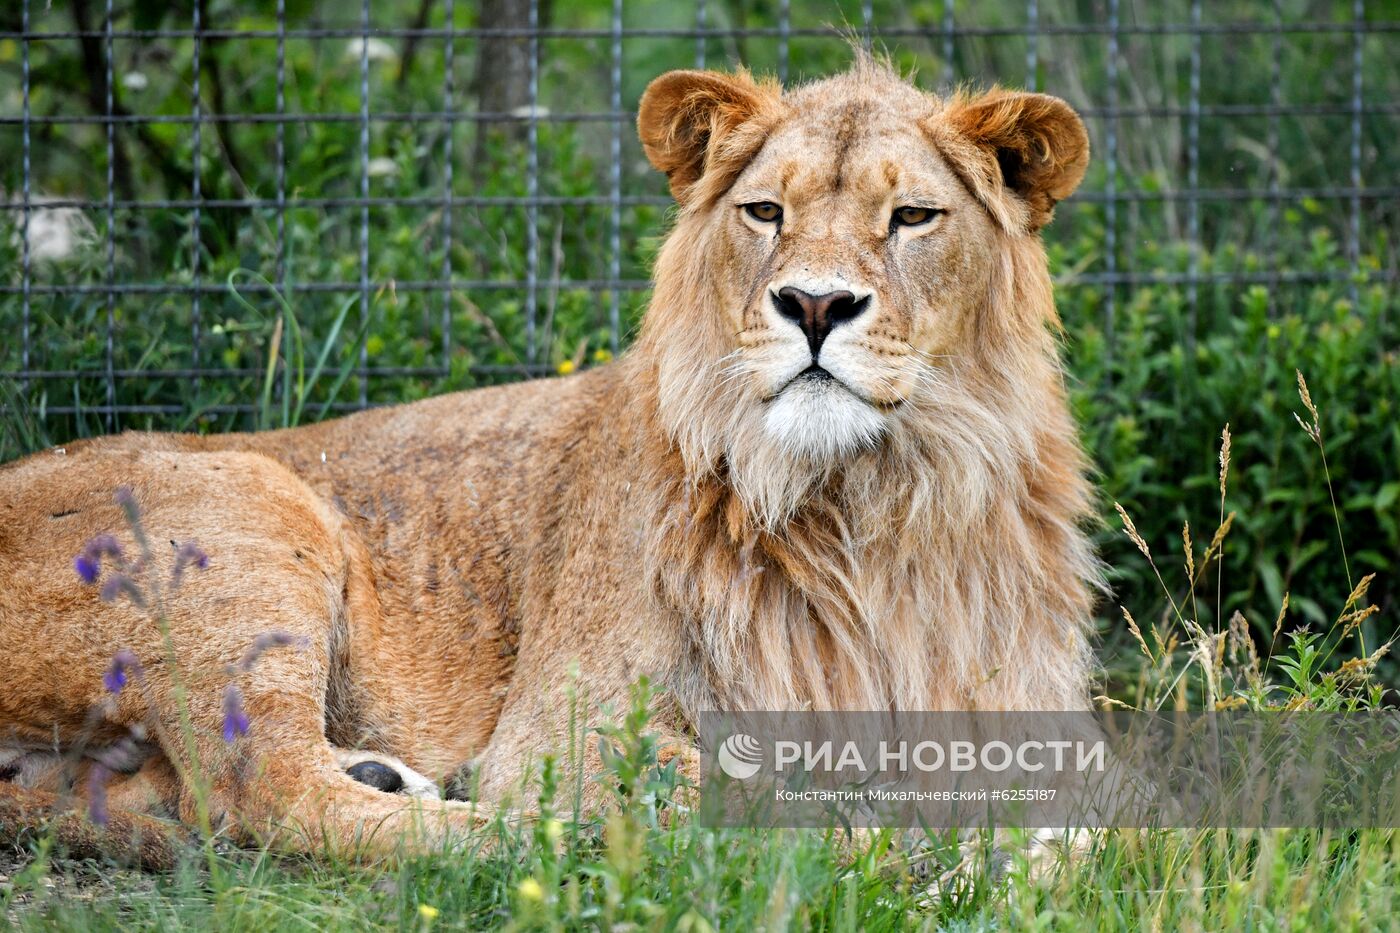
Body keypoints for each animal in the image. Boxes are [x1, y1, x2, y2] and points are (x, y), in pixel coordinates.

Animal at [0, 56, 1092, 857]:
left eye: (911, 217)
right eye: (764, 213)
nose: (814, 304)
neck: (865, 499)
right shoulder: (572, 723)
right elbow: (782, 799)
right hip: (246, 519)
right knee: (264, 792)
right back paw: (527, 836)